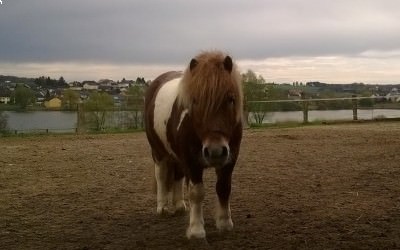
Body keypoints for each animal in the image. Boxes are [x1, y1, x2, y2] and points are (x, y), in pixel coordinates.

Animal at [145, 50, 244, 238]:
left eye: (230, 99)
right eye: (195, 101)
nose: (215, 151)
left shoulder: (230, 159)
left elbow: (224, 188)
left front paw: (224, 223)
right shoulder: (191, 161)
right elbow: (197, 193)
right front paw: (196, 230)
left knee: (177, 176)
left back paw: (179, 206)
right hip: (158, 152)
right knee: (161, 175)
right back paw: (162, 208)